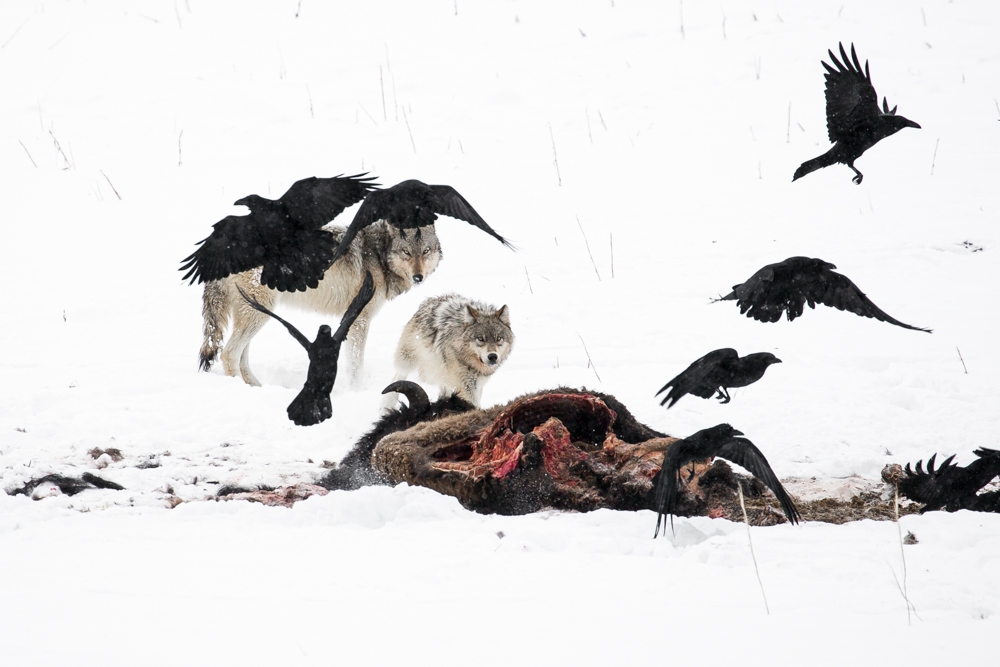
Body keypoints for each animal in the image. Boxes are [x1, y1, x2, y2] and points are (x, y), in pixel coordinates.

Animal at [199, 221, 442, 387]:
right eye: (406, 252)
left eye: (425, 251)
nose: (418, 277)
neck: (379, 253)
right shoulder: (360, 321)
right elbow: (355, 367)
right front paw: (357, 392)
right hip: (258, 314)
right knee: (229, 354)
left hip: (255, 314)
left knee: (241, 357)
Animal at [382, 294, 514, 409]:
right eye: (480, 339)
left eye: (498, 339)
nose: (492, 356)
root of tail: (429, 301)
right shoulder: (465, 386)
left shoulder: (478, 386)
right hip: (408, 361)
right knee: (398, 376)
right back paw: (386, 405)